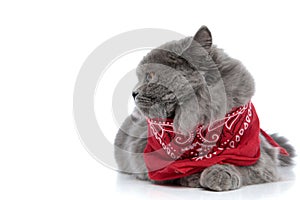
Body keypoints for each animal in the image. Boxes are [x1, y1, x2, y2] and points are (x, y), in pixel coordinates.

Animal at [113, 25, 294, 191]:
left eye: (150, 76)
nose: (133, 93)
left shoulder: (260, 156)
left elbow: (238, 164)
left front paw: (218, 174)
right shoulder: (143, 151)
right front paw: (194, 177)